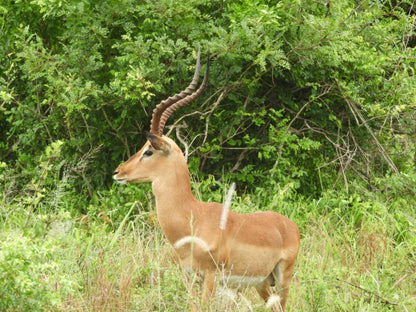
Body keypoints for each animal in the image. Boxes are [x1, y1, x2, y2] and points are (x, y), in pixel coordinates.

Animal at [114, 50, 300, 310]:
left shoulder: (211, 277)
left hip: (283, 278)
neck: (192, 217)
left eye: (148, 151)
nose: (118, 172)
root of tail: (290, 225)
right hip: (262, 283)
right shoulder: (189, 277)